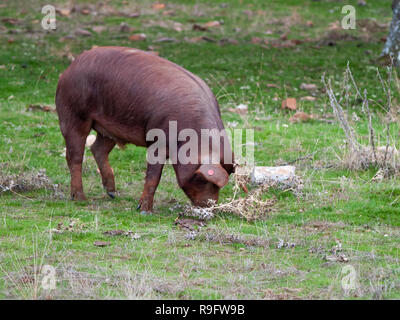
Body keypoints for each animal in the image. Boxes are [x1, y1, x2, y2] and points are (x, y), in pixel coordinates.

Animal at [54, 46, 233, 214]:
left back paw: (112, 194)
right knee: (74, 156)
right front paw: (144, 210)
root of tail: (69, 69)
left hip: (108, 128)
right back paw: (80, 198)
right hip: (73, 114)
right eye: (202, 179)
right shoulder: (157, 140)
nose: (210, 206)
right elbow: (154, 177)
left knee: (97, 148)